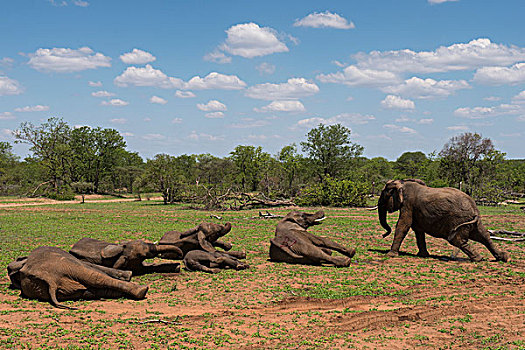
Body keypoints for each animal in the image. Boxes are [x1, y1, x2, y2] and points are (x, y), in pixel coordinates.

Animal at [7, 246, 147, 308]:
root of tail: (51, 281)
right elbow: (91, 266)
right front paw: (129, 274)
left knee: (93, 290)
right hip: (66, 266)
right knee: (94, 277)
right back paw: (142, 290)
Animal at [378, 179, 510, 262]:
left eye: (384, 195)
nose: (383, 235)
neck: (402, 183)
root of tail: (475, 210)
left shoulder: (408, 204)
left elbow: (403, 225)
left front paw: (390, 255)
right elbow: (418, 230)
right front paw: (423, 255)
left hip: (458, 220)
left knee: (457, 240)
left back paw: (478, 259)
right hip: (473, 222)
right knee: (484, 235)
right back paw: (502, 258)